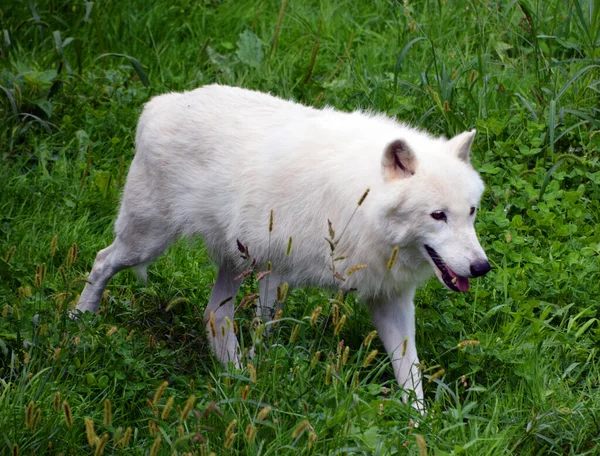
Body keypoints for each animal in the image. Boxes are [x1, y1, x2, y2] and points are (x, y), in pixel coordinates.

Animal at [76, 83, 488, 408]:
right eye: (438, 215)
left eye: (470, 212)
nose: (482, 267)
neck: (362, 201)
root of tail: (160, 103)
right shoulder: (276, 272)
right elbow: (266, 332)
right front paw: (262, 376)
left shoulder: (388, 296)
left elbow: (410, 370)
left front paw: (419, 425)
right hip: (148, 242)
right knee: (101, 260)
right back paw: (78, 322)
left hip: (233, 261)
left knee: (214, 316)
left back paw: (233, 377)